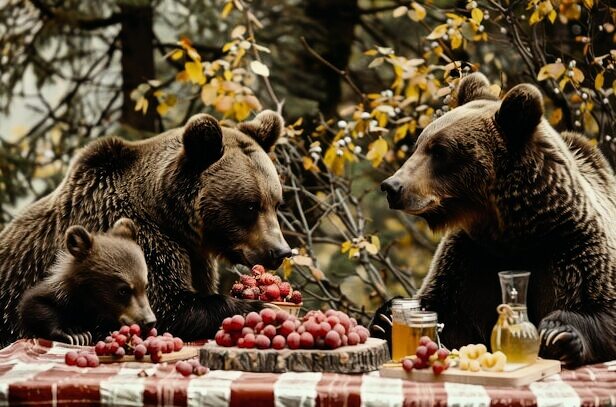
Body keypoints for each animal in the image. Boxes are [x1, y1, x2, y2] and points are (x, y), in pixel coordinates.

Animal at [19, 218, 156, 346]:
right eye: (123, 290)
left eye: (145, 286)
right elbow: (34, 305)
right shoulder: (61, 296)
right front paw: (75, 334)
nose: (150, 321)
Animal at [376, 71, 616, 368]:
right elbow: (449, 316)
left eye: (440, 150)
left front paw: (559, 334)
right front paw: (385, 318)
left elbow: (598, 306)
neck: (513, 231)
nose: (392, 186)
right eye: (419, 144)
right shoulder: (470, 259)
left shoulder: (570, 248)